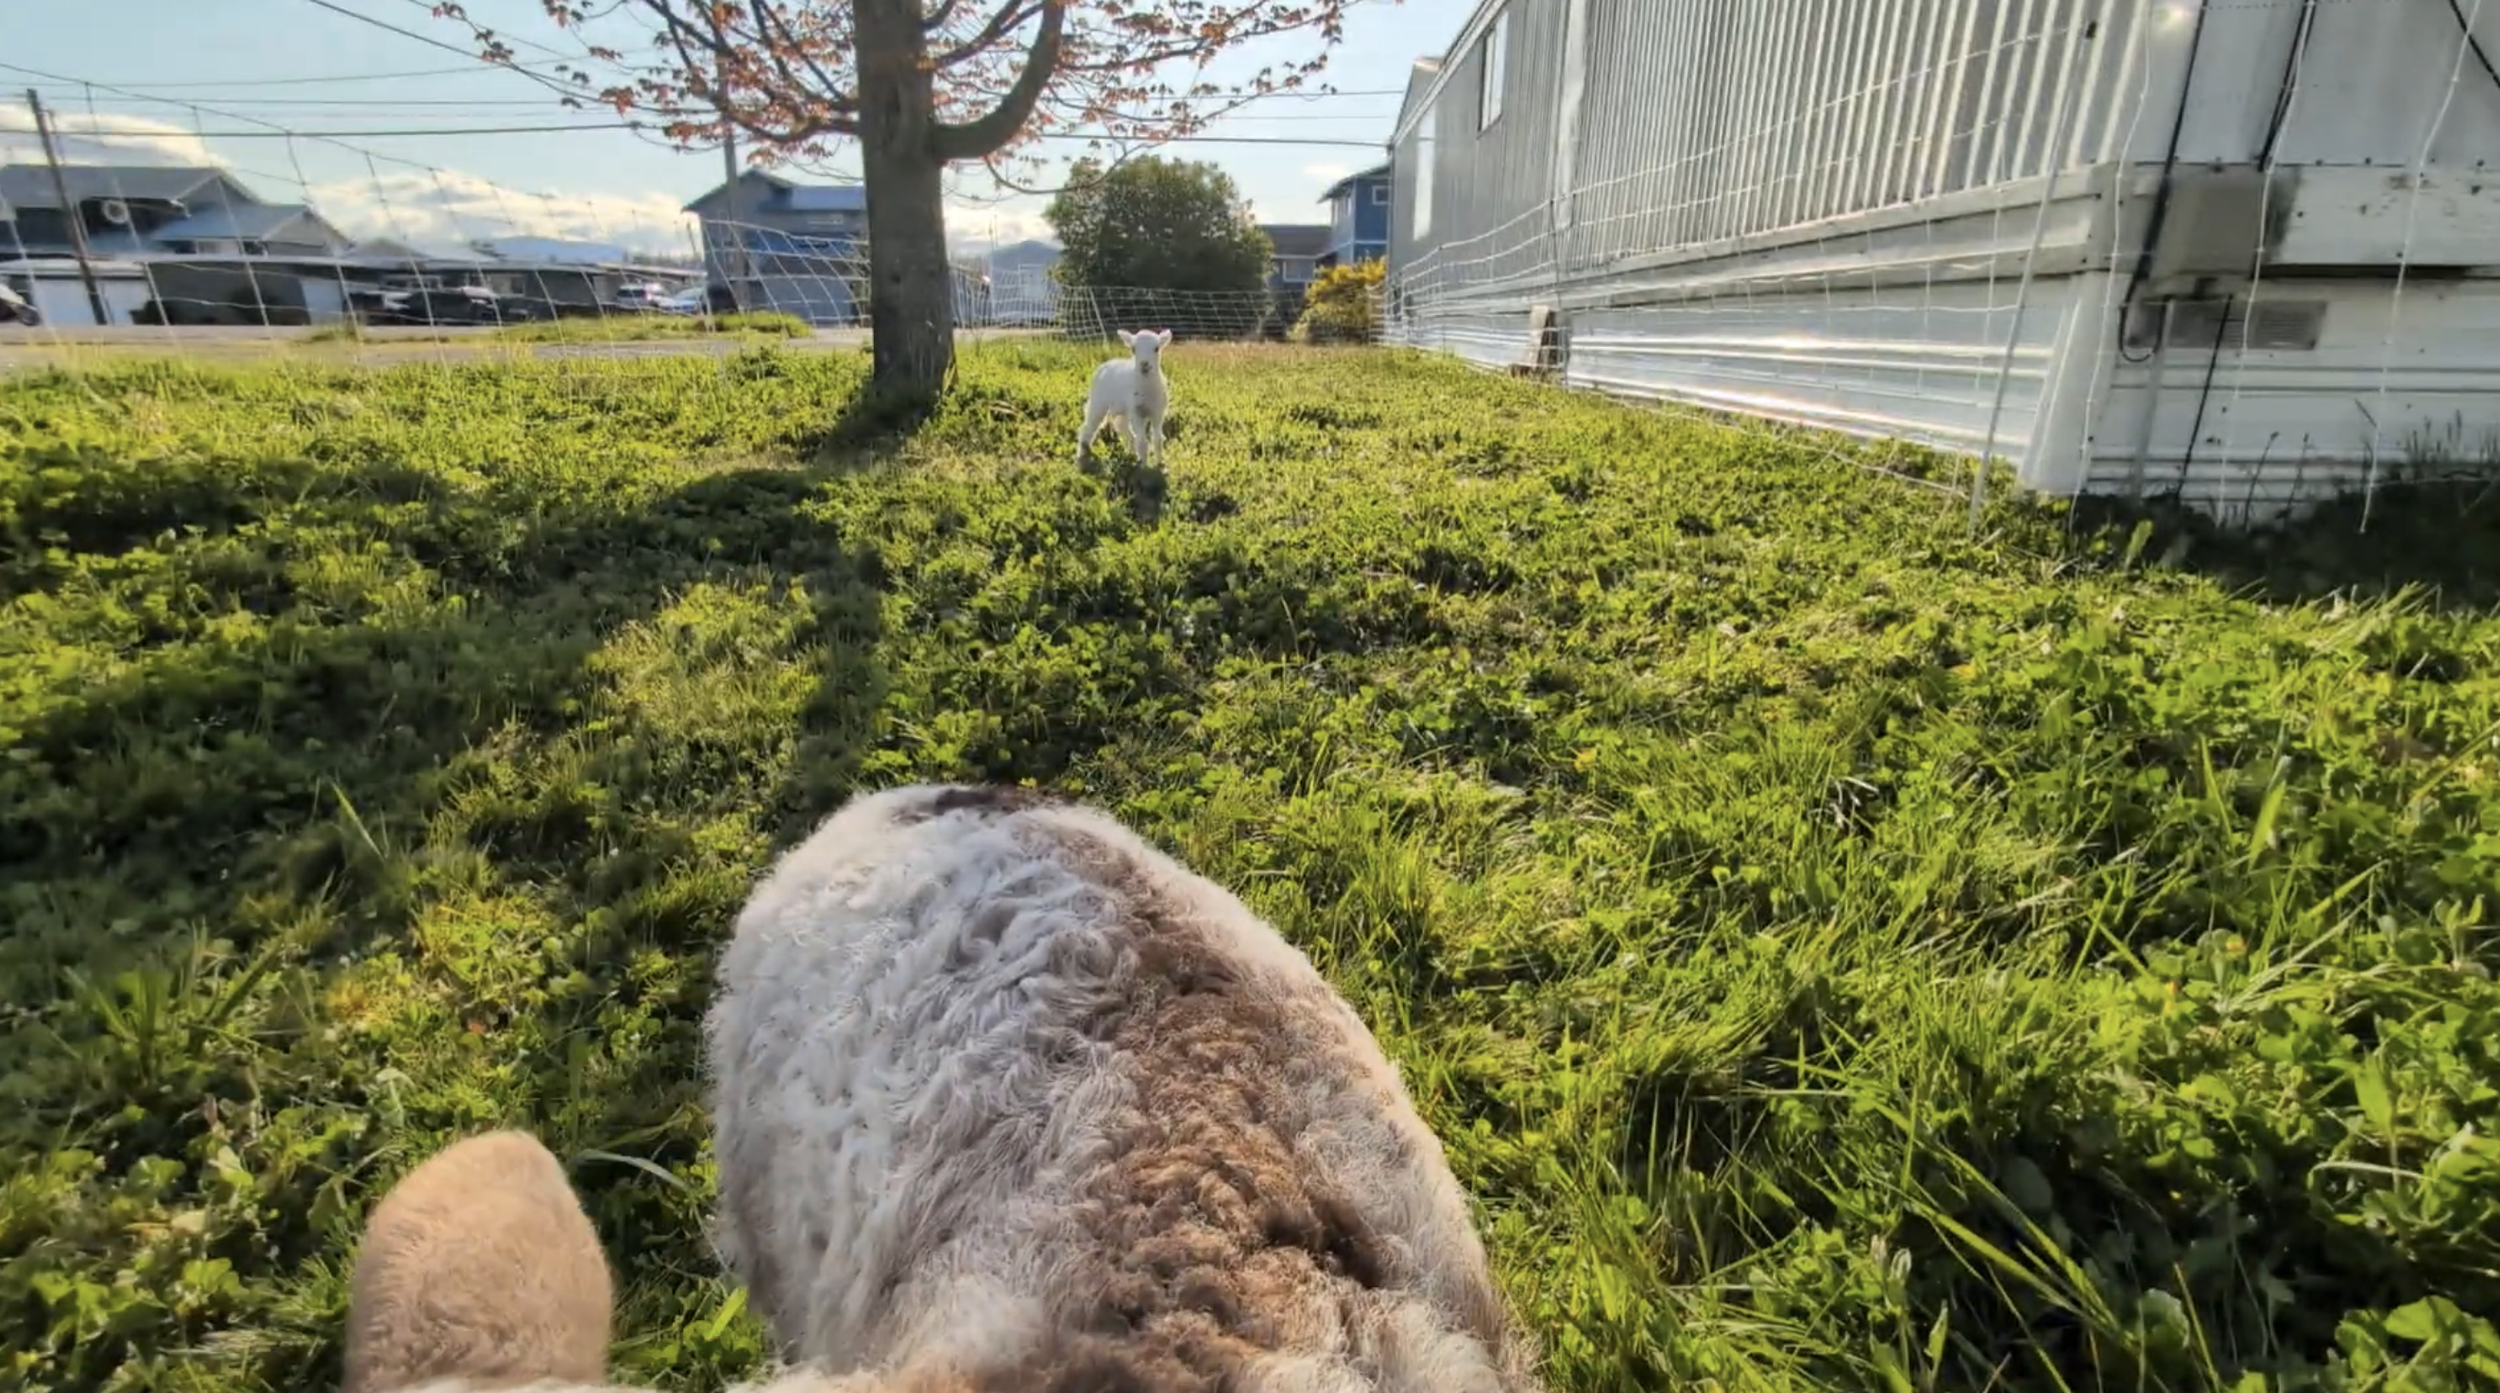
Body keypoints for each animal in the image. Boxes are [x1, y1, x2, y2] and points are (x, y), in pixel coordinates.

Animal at [1077, 328, 1174, 470]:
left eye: (1157, 348)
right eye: (1133, 349)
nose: (1144, 364)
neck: (1147, 391)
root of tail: (1107, 363)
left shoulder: (1158, 412)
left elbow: (1158, 439)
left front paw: (1160, 464)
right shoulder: (1137, 412)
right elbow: (1142, 441)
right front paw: (1144, 467)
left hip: (1122, 408)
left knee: (1121, 425)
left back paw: (1130, 452)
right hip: (1098, 401)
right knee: (1089, 425)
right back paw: (1083, 452)